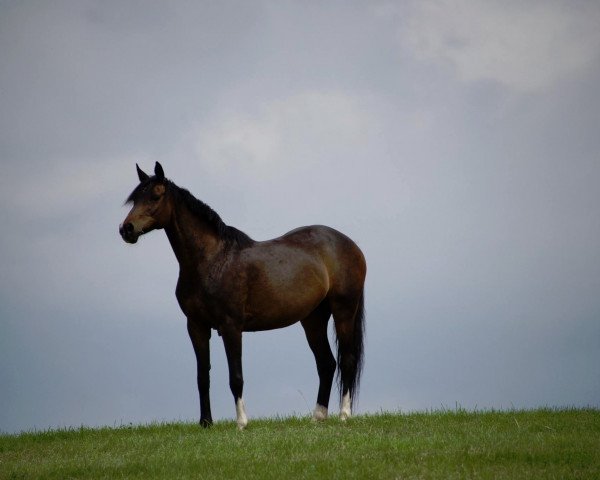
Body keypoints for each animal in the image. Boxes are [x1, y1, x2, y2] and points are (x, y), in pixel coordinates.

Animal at [118, 163, 366, 430]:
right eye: (135, 198)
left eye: (155, 195)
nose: (126, 229)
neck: (212, 261)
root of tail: (350, 244)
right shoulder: (196, 327)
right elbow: (202, 376)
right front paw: (206, 423)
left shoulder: (231, 327)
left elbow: (236, 377)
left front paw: (241, 423)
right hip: (313, 319)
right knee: (326, 364)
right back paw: (318, 417)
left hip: (343, 312)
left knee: (347, 360)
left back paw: (344, 415)